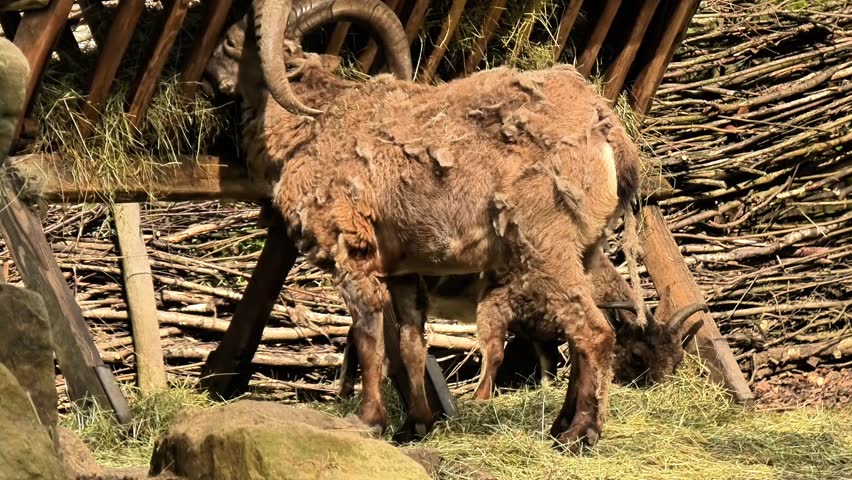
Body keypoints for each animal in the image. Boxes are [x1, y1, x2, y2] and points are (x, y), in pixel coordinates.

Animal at [205, 0, 658, 451]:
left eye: (230, 42)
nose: (209, 79)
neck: (313, 122)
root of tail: (607, 130)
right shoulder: (404, 271)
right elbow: (410, 346)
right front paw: (415, 426)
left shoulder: (352, 248)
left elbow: (368, 338)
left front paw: (369, 421)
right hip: (587, 250)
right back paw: (560, 426)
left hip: (547, 245)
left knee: (595, 333)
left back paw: (581, 434)